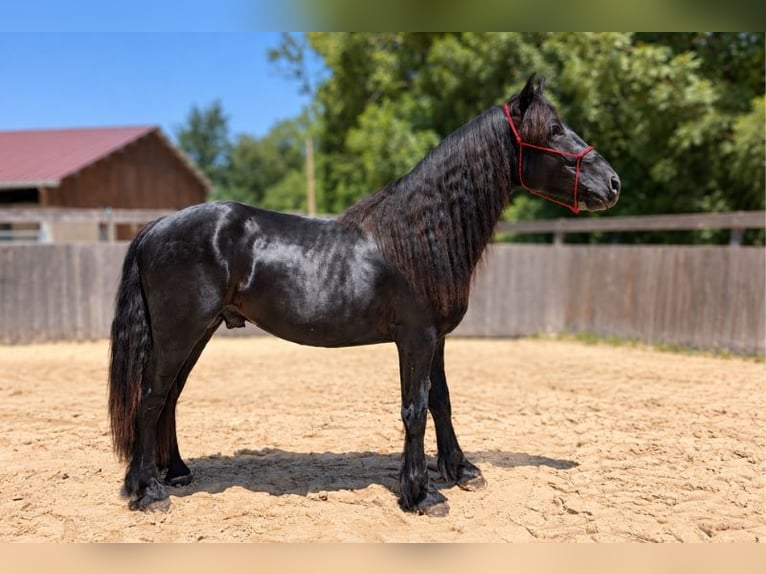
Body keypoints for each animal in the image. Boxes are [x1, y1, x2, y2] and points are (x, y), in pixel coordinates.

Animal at [108, 74, 620, 516]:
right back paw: (147, 491)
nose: (613, 183)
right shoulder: (415, 338)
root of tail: (157, 226)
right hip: (179, 334)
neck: (420, 237)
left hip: (200, 332)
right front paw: (421, 495)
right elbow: (415, 409)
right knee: (151, 397)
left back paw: (175, 472)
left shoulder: (436, 339)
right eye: (553, 130)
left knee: (170, 396)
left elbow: (441, 401)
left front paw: (461, 471)